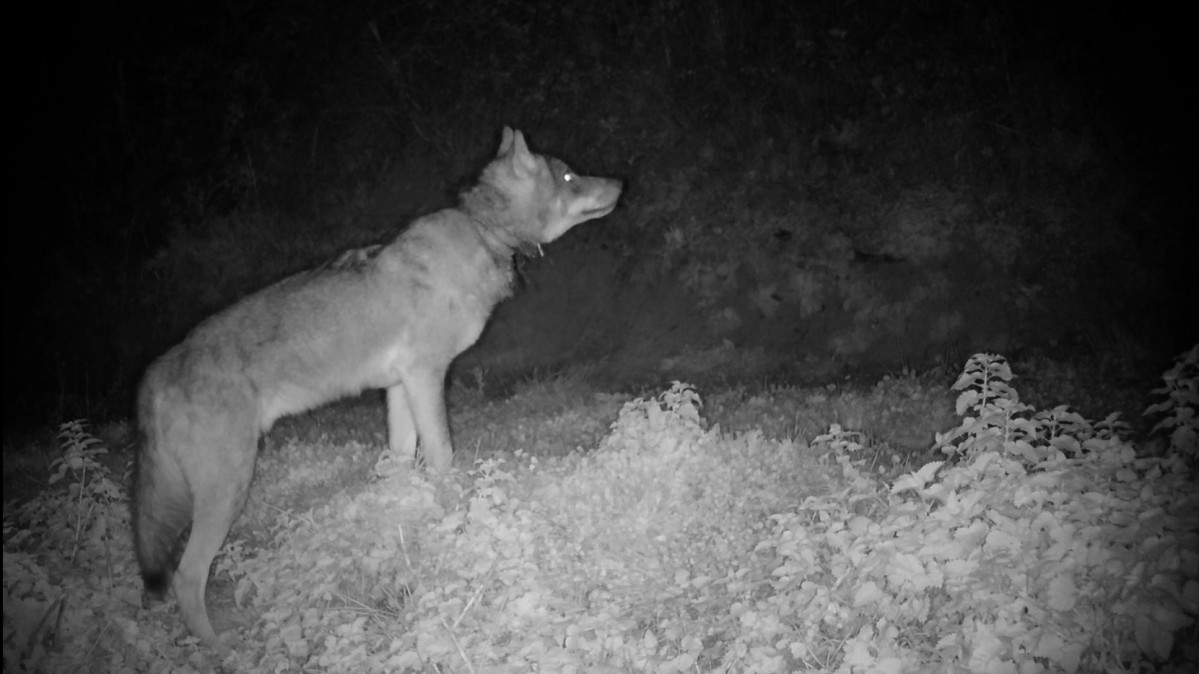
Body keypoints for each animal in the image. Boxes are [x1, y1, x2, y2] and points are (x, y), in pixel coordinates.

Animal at [133, 125, 618, 647]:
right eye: (568, 176)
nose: (620, 183)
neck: (482, 230)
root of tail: (155, 373)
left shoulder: (400, 387)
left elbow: (401, 466)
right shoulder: (426, 376)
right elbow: (444, 458)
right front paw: (452, 515)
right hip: (229, 486)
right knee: (186, 577)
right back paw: (220, 646)